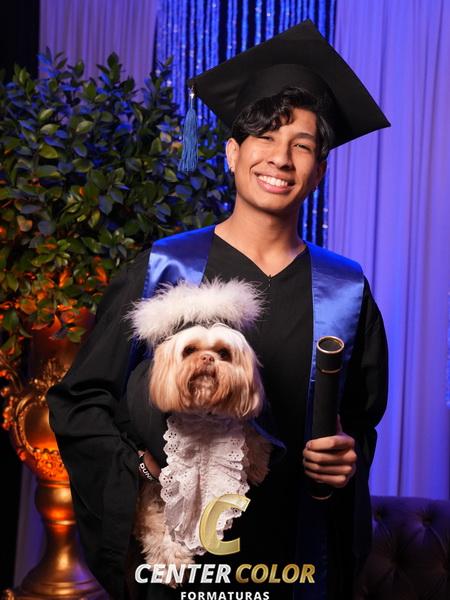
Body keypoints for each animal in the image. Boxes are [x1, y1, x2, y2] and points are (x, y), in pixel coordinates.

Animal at [128, 279, 272, 581]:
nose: (207, 359)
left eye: (224, 353)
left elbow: (252, 437)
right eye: (189, 350)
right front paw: (172, 558)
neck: (203, 415)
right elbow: (162, 522)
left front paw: (256, 464)